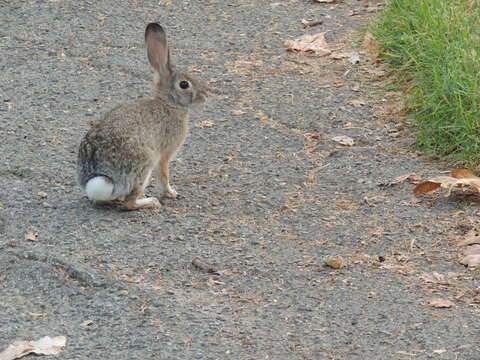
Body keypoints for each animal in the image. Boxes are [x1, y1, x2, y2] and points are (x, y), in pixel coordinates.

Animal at [76, 23, 208, 211]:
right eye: (184, 84)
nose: (205, 96)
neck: (169, 104)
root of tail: (101, 176)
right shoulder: (164, 154)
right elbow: (164, 174)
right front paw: (171, 193)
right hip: (145, 164)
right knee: (128, 204)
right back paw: (150, 202)